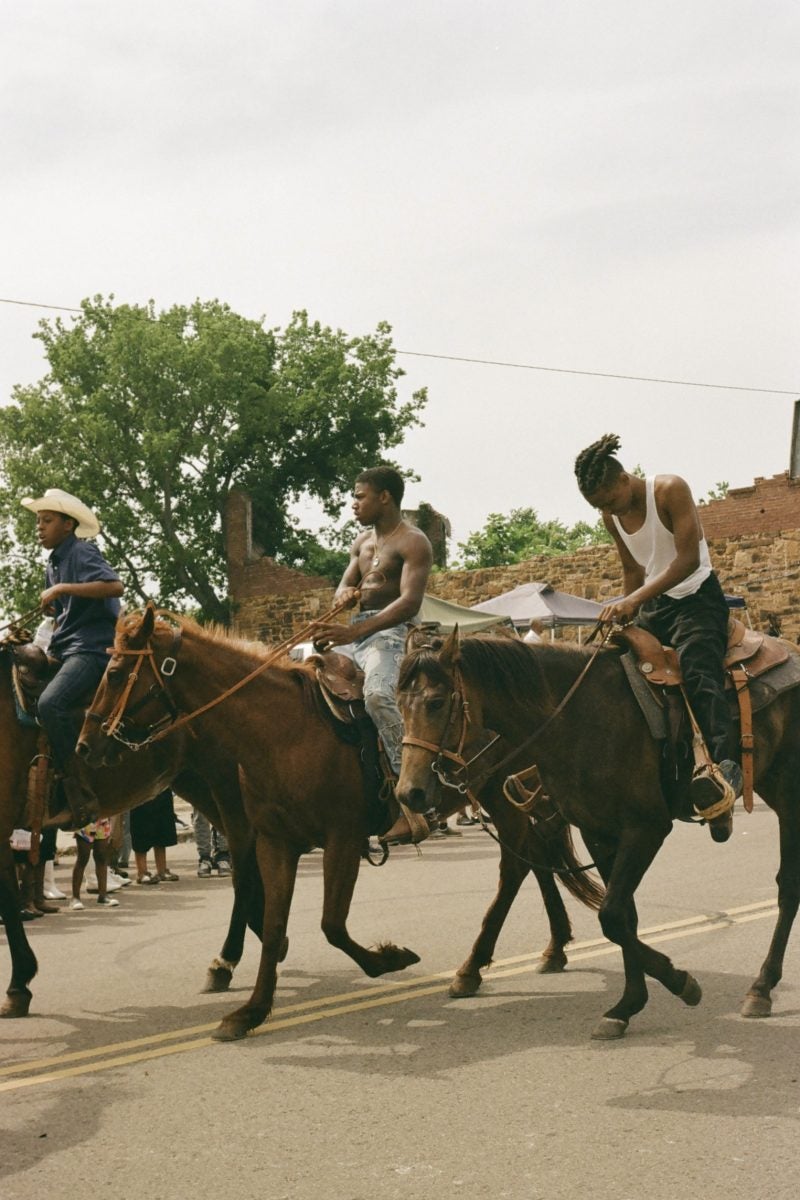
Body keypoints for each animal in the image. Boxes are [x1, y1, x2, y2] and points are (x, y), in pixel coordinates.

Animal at [77, 609, 606, 1041]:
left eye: (115, 672)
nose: (84, 745)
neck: (280, 731)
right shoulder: (274, 843)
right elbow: (273, 924)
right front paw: (251, 1010)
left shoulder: (342, 839)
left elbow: (331, 924)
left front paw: (389, 958)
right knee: (533, 857)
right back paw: (552, 948)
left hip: (501, 791)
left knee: (517, 865)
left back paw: (473, 968)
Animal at [395, 633, 800, 1036]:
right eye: (399, 704)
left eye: (436, 702)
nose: (409, 793)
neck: (575, 719)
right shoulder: (599, 832)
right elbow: (624, 918)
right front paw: (627, 1005)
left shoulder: (646, 828)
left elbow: (612, 916)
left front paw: (679, 982)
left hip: (788, 794)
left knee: (788, 887)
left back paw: (761, 987)